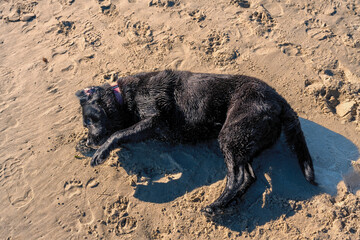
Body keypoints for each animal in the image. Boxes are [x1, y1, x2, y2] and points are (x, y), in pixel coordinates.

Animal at [76, 70, 316, 216]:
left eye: (90, 120)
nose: (91, 139)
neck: (122, 98)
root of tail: (278, 100)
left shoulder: (153, 119)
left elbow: (118, 134)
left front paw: (100, 152)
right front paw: (84, 146)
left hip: (230, 135)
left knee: (237, 177)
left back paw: (215, 206)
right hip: (242, 142)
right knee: (249, 177)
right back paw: (226, 205)